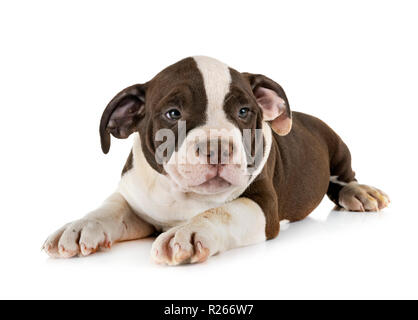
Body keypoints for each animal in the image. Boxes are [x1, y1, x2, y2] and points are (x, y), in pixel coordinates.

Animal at [42, 57, 388, 264]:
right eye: (173, 113)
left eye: (244, 112)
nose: (218, 147)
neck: (183, 195)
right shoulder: (136, 199)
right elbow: (110, 208)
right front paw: (80, 226)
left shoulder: (262, 205)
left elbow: (224, 211)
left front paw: (189, 232)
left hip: (336, 144)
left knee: (343, 175)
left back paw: (359, 192)